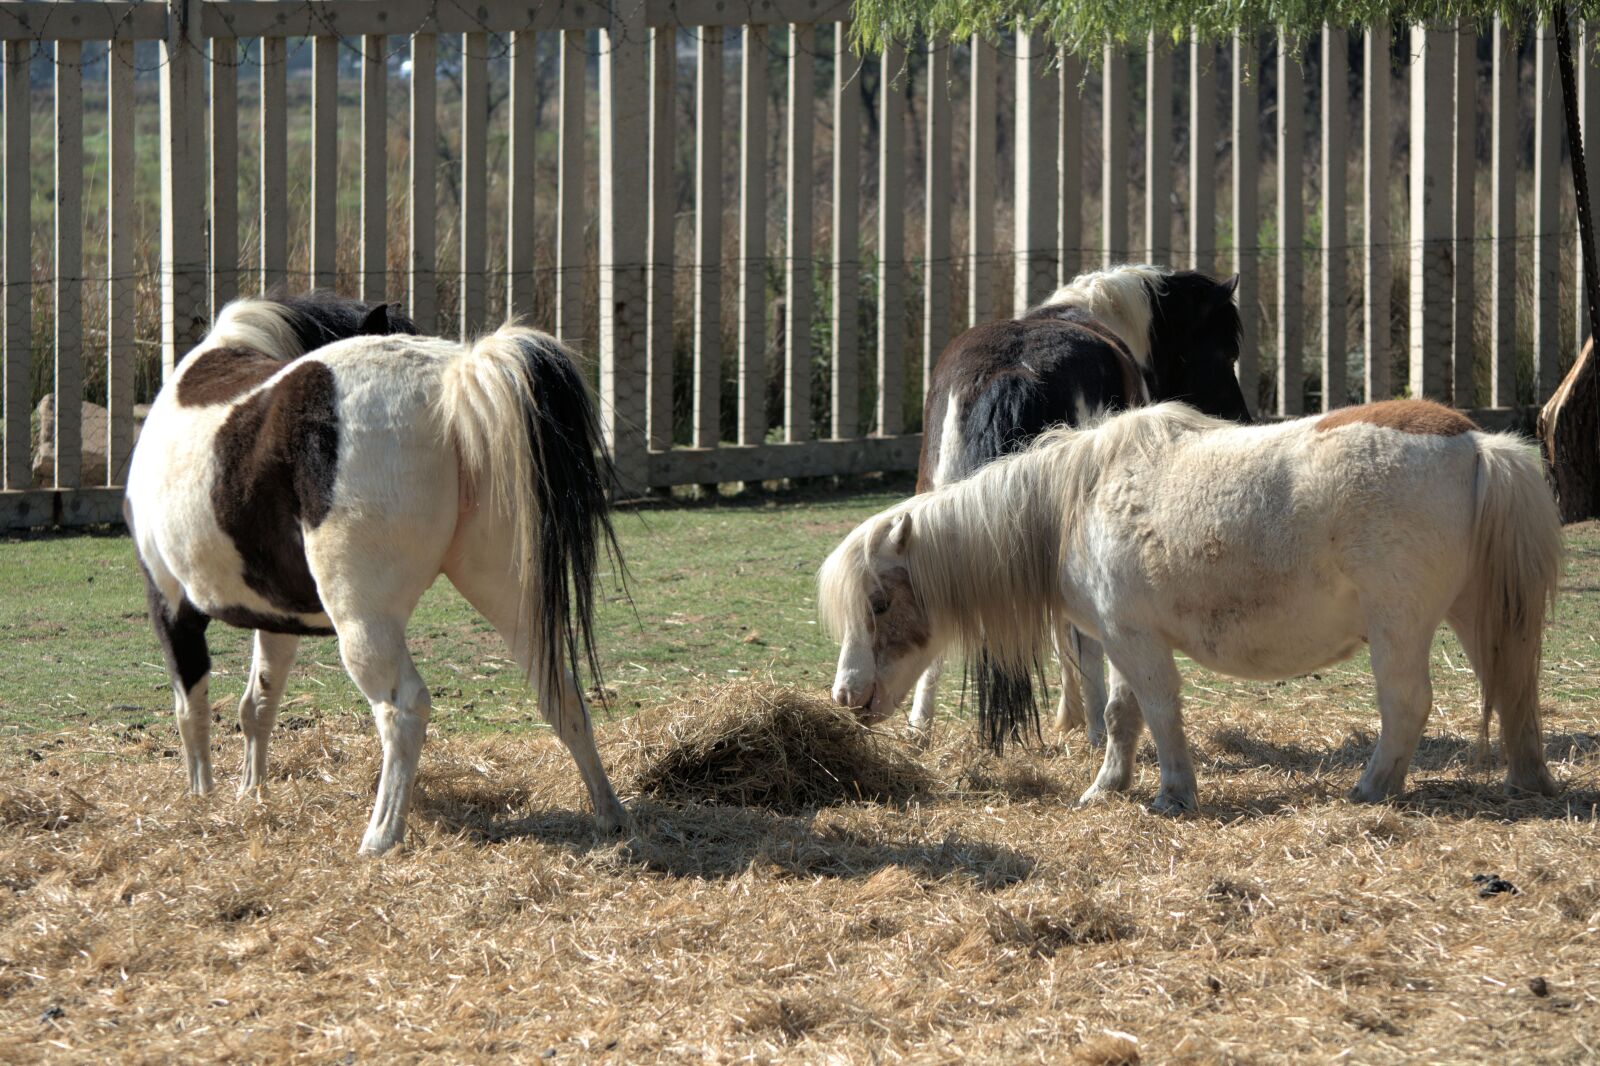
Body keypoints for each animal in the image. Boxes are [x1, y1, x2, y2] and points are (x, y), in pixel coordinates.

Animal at [124, 291, 627, 854]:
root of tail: (454, 378)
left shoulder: (171, 606)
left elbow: (191, 708)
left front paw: (202, 801)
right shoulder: (277, 618)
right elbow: (258, 704)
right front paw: (250, 795)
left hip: (364, 621)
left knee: (402, 710)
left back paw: (381, 835)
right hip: (508, 593)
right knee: (561, 693)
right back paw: (609, 815)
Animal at [820, 399, 1562, 812]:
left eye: (879, 603)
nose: (847, 696)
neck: (1074, 503)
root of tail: (1475, 443)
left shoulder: (1137, 641)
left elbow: (1159, 713)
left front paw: (1173, 794)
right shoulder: (1121, 640)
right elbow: (1120, 717)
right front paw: (1107, 788)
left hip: (1398, 628)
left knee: (1406, 705)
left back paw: (1371, 788)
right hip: (1478, 616)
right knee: (1512, 690)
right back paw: (1526, 783)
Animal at [912, 264, 1251, 749]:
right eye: (1225, 351)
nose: (1240, 419)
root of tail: (1014, 373)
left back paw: (919, 725)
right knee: (1084, 635)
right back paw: (1097, 727)